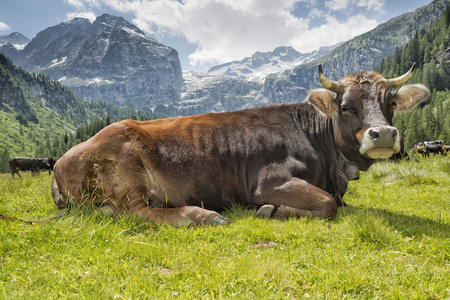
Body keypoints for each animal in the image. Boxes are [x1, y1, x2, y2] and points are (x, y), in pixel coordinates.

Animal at [51, 63, 430, 227]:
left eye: (391, 103)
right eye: (346, 106)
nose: (383, 134)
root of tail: (59, 162)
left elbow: (336, 202)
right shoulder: (268, 182)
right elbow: (325, 205)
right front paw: (270, 211)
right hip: (127, 172)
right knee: (136, 212)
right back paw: (203, 216)